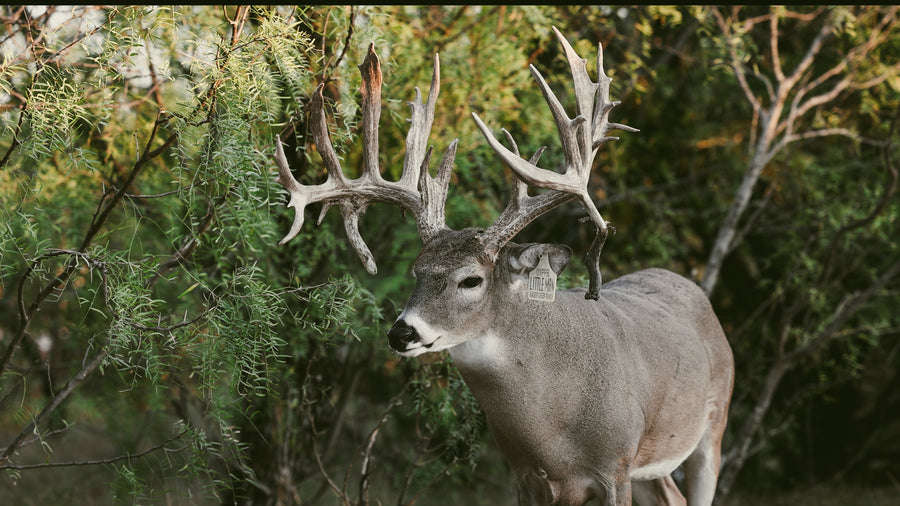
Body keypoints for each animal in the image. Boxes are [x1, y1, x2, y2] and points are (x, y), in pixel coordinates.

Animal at [274, 27, 734, 506]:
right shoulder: (525, 474)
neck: (553, 431)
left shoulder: (617, 465)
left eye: (471, 280)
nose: (402, 333)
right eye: (417, 271)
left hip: (713, 426)